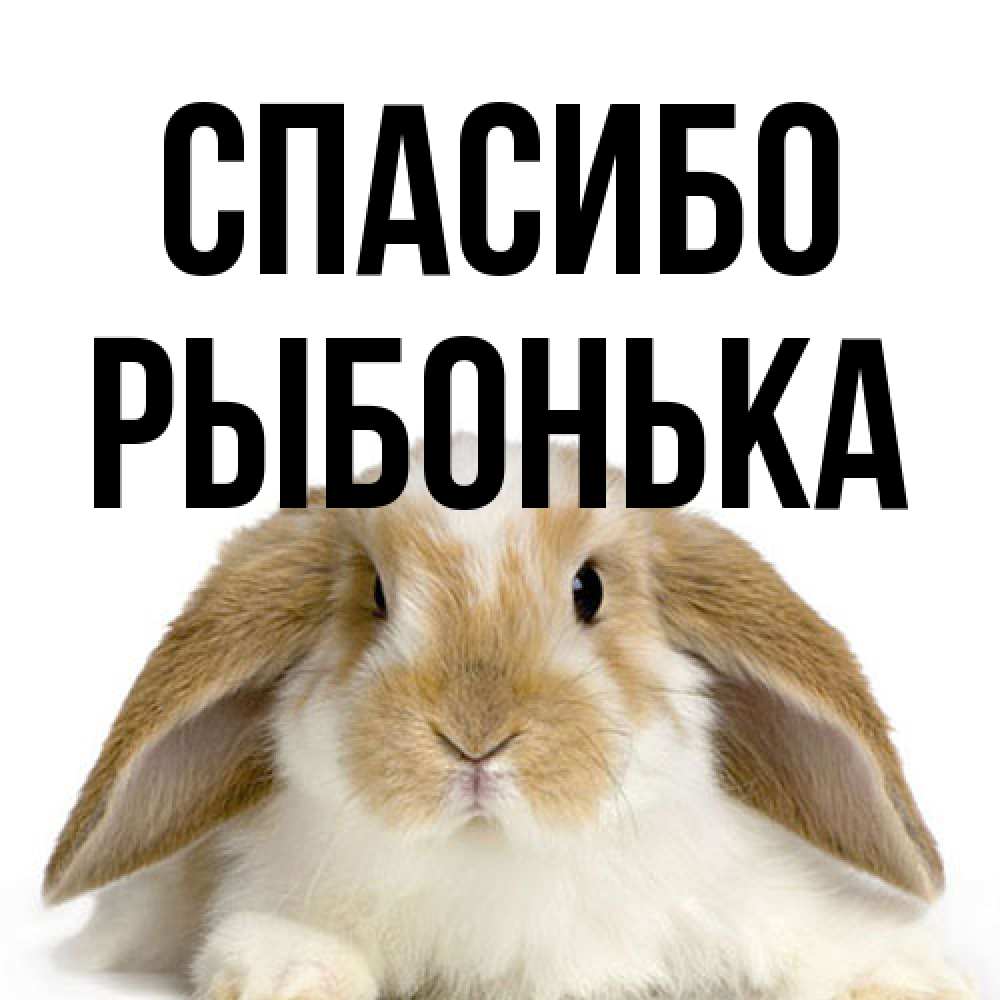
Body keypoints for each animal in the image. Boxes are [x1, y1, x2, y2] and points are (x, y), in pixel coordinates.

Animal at [46, 436, 975, 1000]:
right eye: (376, 596)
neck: (495, 857)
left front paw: (909, 978)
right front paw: (290, 977)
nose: (475, 737)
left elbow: (818, 939)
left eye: (589, 589)